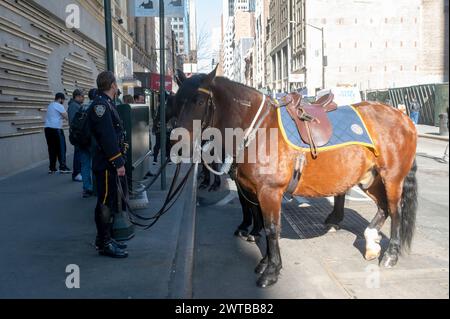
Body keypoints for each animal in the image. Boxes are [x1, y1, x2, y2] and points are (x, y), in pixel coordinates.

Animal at [173, 68, 418, 290]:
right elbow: (261, 223)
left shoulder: (269, 192)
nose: (178, 145)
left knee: (395, 210)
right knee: (384, 207)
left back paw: (390, 254)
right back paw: (371, 242)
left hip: (392, 178)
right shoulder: (254, 191)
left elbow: (271, 228)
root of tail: (403, 118)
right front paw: (264, 261)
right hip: (370, 178)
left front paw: (271, 271)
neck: (259, 129)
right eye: (176, 100)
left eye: (198, 101)